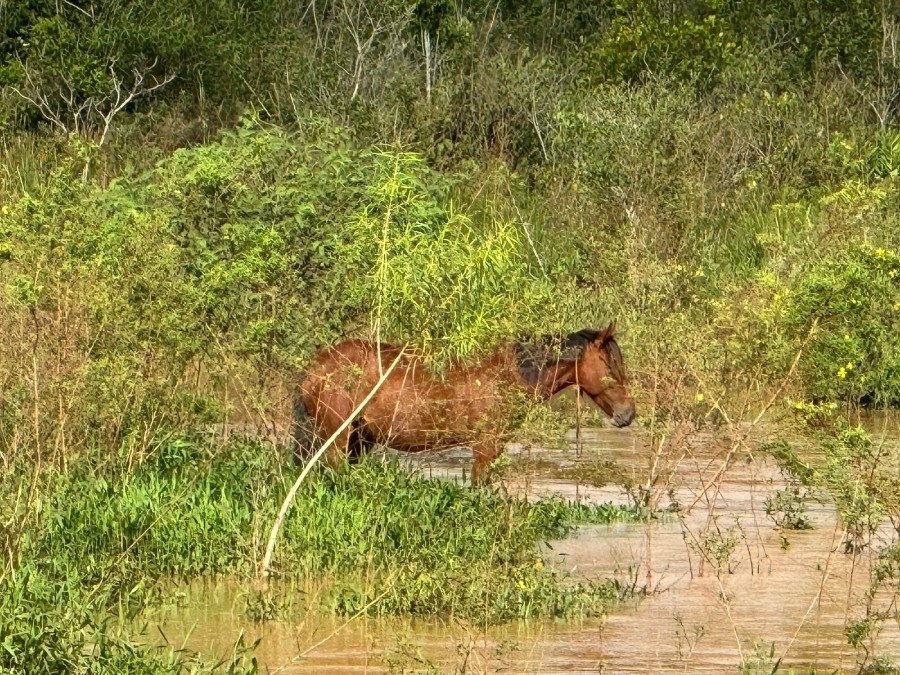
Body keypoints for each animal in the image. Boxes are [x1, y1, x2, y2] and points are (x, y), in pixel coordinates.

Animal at [291, 323, 636, 482]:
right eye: (610, 367)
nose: (628, 414)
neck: (507, 374)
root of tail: (316, 368)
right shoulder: (485, 448)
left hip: (359, 441)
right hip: (336, 441)